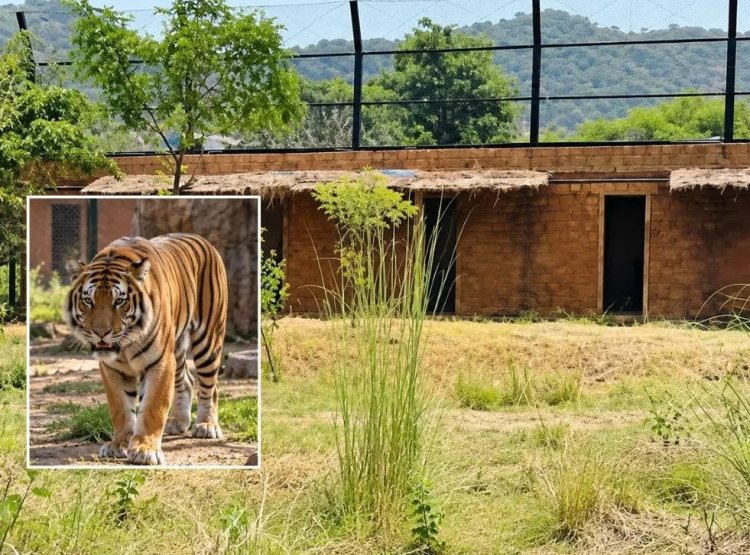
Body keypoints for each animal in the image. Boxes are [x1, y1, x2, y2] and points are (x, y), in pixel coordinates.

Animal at [64, 233, 228, 465]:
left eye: (119, 301)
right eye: (88, 301)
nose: (101, 332)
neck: (125, 345)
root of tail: (201, 239)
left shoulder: (160, 362)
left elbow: (152, 408)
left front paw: (145, 450)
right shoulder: (112, 368)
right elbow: (121, 408)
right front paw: (119, 444)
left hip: (208, 339)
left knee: (210, 386)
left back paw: (206, 426)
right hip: (177, 348)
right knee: (187, 380)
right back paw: (178, 422)